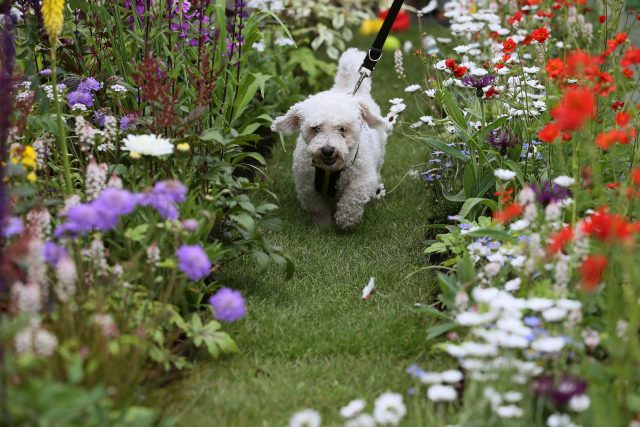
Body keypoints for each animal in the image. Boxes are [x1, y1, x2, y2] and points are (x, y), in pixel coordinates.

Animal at [272, 48, 388, 231]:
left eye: (342, 129)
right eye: (316, 128)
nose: (327, 150)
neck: (330, 171)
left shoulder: (362, 179)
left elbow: (352, 199)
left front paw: (346, 221)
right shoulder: (307, 185)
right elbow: (317, 207)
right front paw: (323, 226)